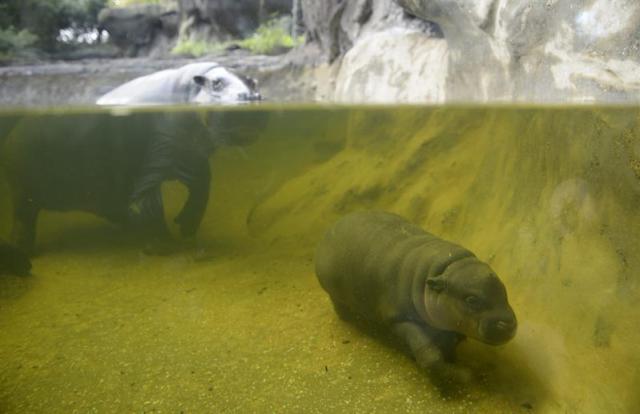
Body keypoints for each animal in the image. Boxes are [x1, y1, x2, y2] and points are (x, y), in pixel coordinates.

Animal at [316, 212, 520, 376]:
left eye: (503, 289)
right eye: (471, 299)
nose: (507, 324)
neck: (443, 270)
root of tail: (330, 229)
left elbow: (450, 343)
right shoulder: (401, 319)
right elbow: (430, 356)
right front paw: (462, 375)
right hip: (335, 295)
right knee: (340, 307)